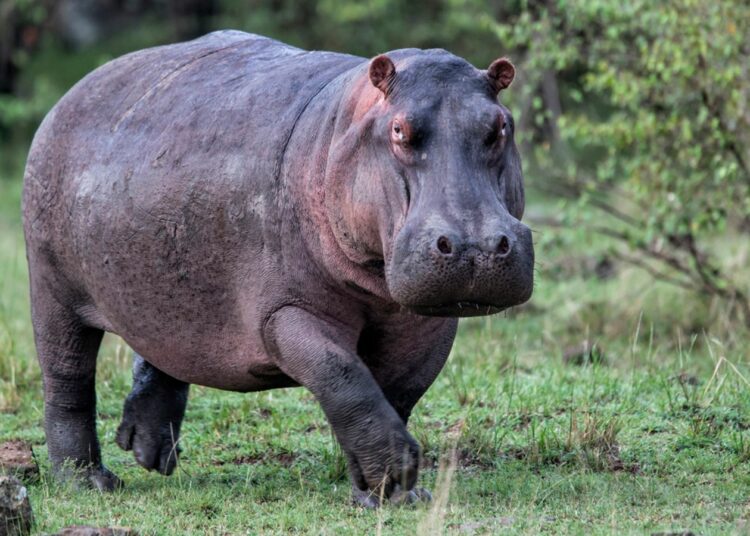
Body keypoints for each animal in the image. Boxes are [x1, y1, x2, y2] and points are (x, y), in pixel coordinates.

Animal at [22, 30, 536, 506]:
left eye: (500, 127)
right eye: (399, 130)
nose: (475, 246)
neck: (341, 129)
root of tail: (74, 91)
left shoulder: (426, 323)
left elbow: (394, 393)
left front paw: (385, 492)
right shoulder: (284, 312)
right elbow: (345, 378)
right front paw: (396, 478)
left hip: (169, 284)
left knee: (165, 346)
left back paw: (149, 453)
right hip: (52, 286)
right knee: (67, 380)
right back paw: (89, 482)